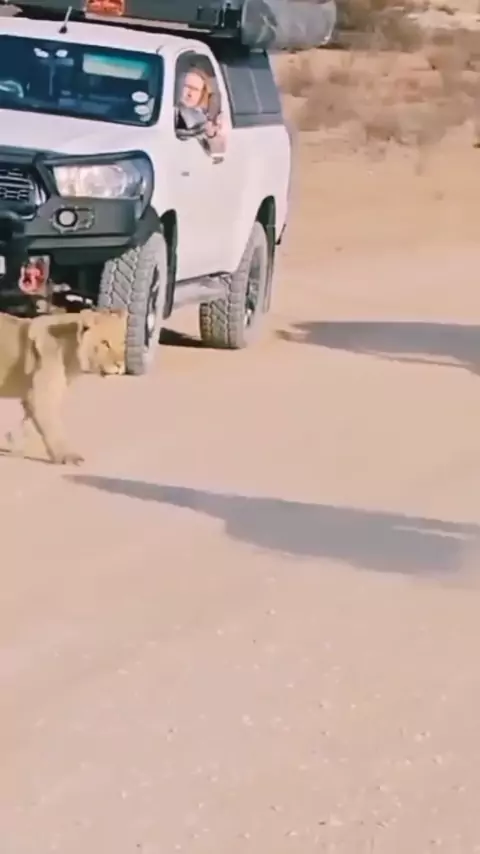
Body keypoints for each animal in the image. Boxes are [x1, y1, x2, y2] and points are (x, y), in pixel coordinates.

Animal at [0, 307, 127, 465]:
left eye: (123, 343)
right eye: (104, 343)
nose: (120, 365)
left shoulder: (31, 396)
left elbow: (28, 423)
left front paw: (14, 443)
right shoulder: (41, 397)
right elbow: (53, 428)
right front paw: (67, 456)